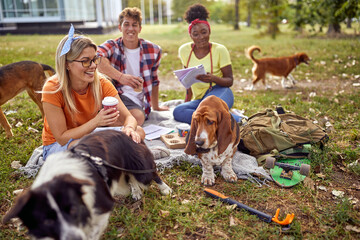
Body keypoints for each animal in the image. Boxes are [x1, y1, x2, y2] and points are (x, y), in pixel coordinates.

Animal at [2, 130, 172, 240]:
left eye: (73, 209)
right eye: (47, 221)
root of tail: (128, 133)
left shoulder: (102, 206)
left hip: (141, 169)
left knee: (151, 174)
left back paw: (165, 189)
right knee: (130, 176)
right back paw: (136, 192)